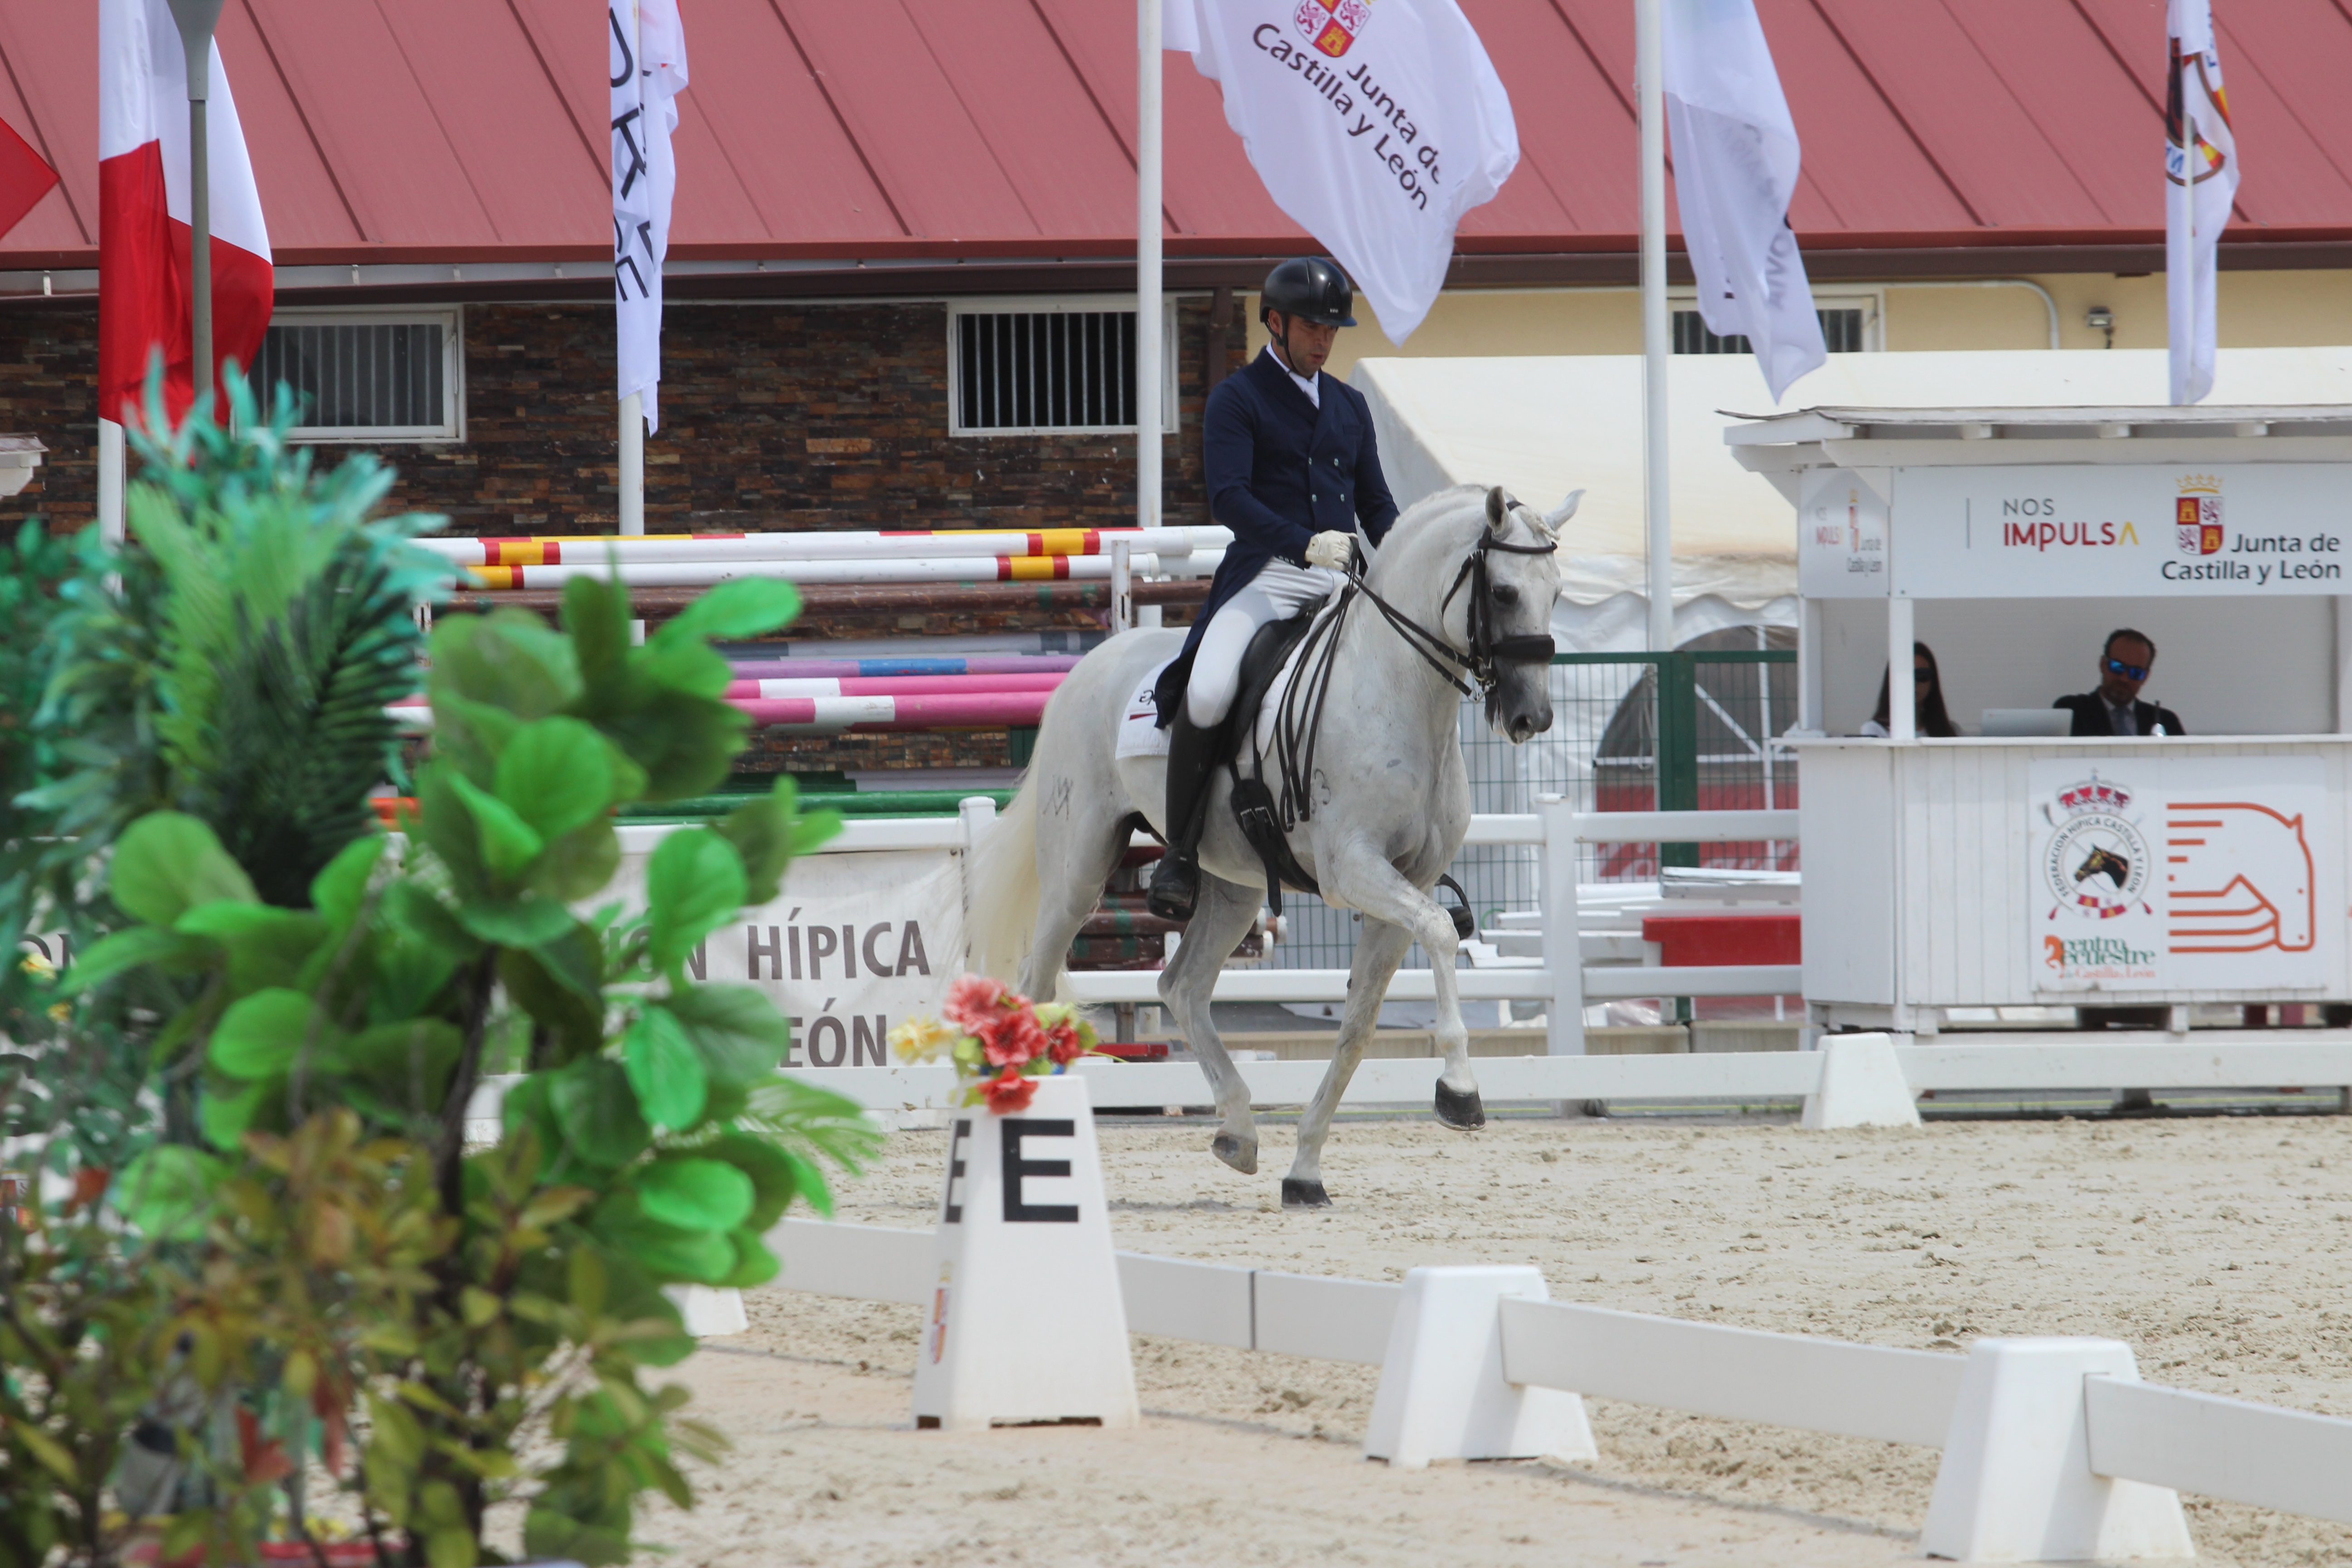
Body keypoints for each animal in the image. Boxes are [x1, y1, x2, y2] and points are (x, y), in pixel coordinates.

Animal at [971, 483, 1575, 1206]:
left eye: (1558, 592)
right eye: (1506, 593)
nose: (1532, 718)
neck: (1398, 690)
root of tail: (1087, 668)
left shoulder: (1413, 878)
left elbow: (1360, 1024)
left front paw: (1306, 1170)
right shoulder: (1354, 870)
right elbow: (1439, 933)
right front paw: (1459, 1089)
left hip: (1232, 888)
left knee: (1180, 987)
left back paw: (1237, 1130)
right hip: (1078, 871)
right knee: (1036, 984)